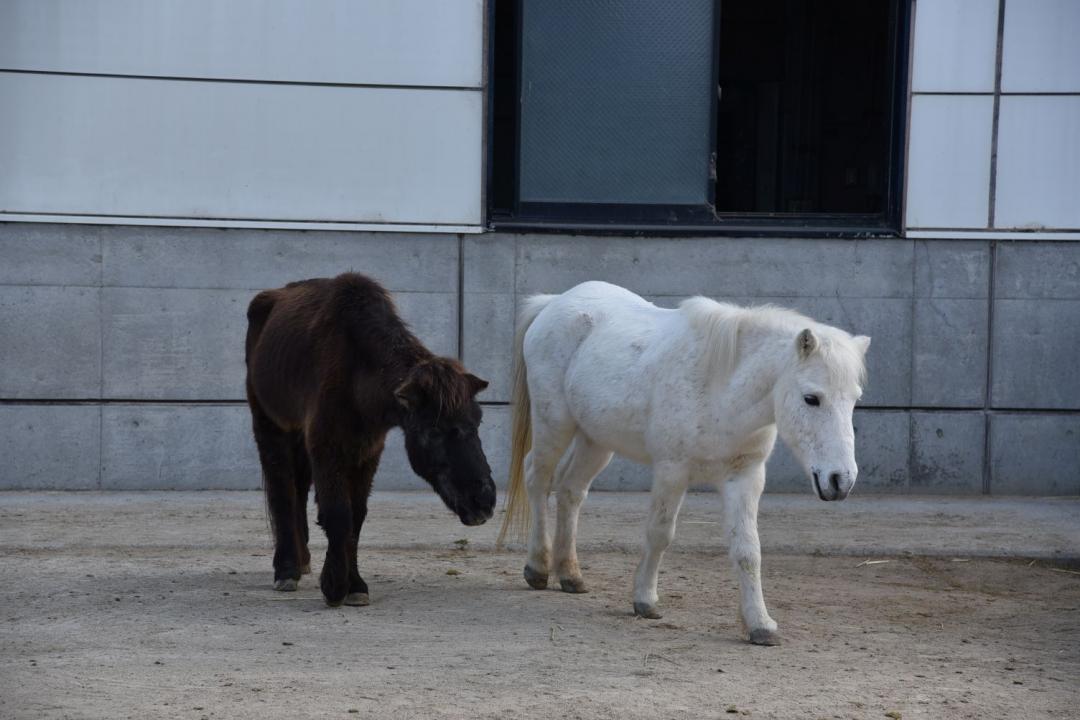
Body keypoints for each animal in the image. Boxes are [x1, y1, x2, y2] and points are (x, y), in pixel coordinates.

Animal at [245, 272, 496, 607]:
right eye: (433, 431)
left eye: (477, 422)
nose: (483, 500)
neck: (358, 372)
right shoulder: (327, 447)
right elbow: (338, 514)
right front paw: (335, 586)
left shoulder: (366, 451)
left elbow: (356, 517)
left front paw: (355, 585)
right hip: (270, 424)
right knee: (281, 490)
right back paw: (286, 569)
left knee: (297, 488)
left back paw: (303, 559)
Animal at [498, 281, 870, 645]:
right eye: (811, 398)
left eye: (854, 400)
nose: (841, 480)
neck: (722, 389)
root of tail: (553, 303)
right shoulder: (672, 471)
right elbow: (660, 533)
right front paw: (645, 600)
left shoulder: (745, 477)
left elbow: (748, 549)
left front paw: (760, 624)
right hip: (553, 425)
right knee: (537, 479)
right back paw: (538, 568)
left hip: (596, 441)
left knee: (571, 491)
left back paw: (570, 574)